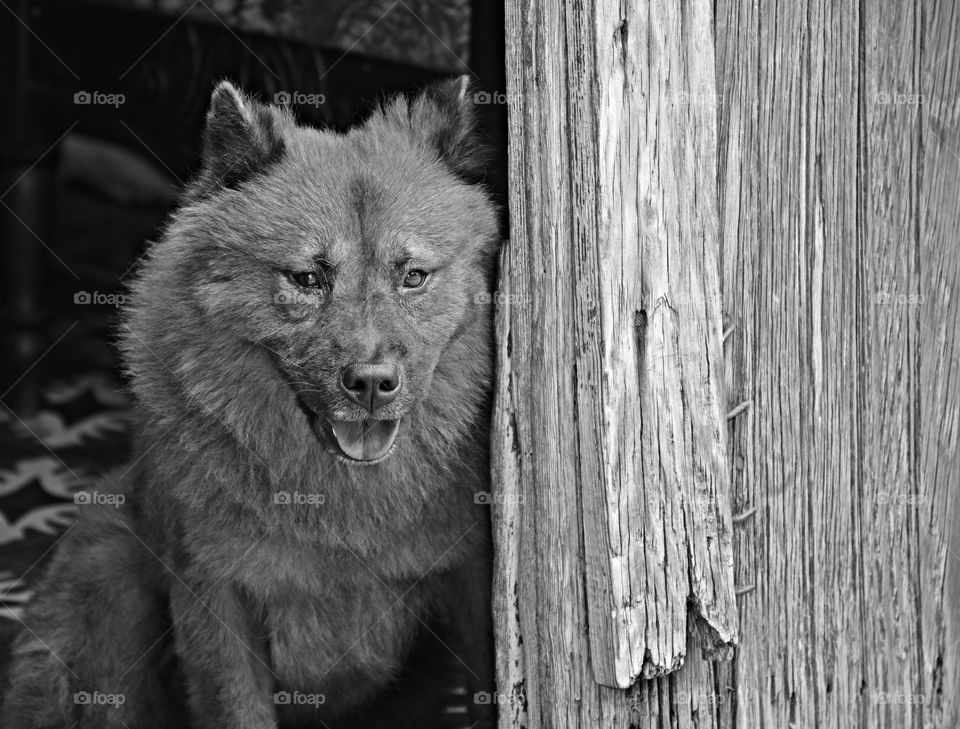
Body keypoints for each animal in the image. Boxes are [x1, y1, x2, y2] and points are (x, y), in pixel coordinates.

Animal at [1, 77, 502, 724]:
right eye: (307, 279)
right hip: (107, 570)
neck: (336, 498)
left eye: (413, 276)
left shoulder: (474, 582)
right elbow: (235, 706)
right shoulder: (215, 592)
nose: (371, 382)